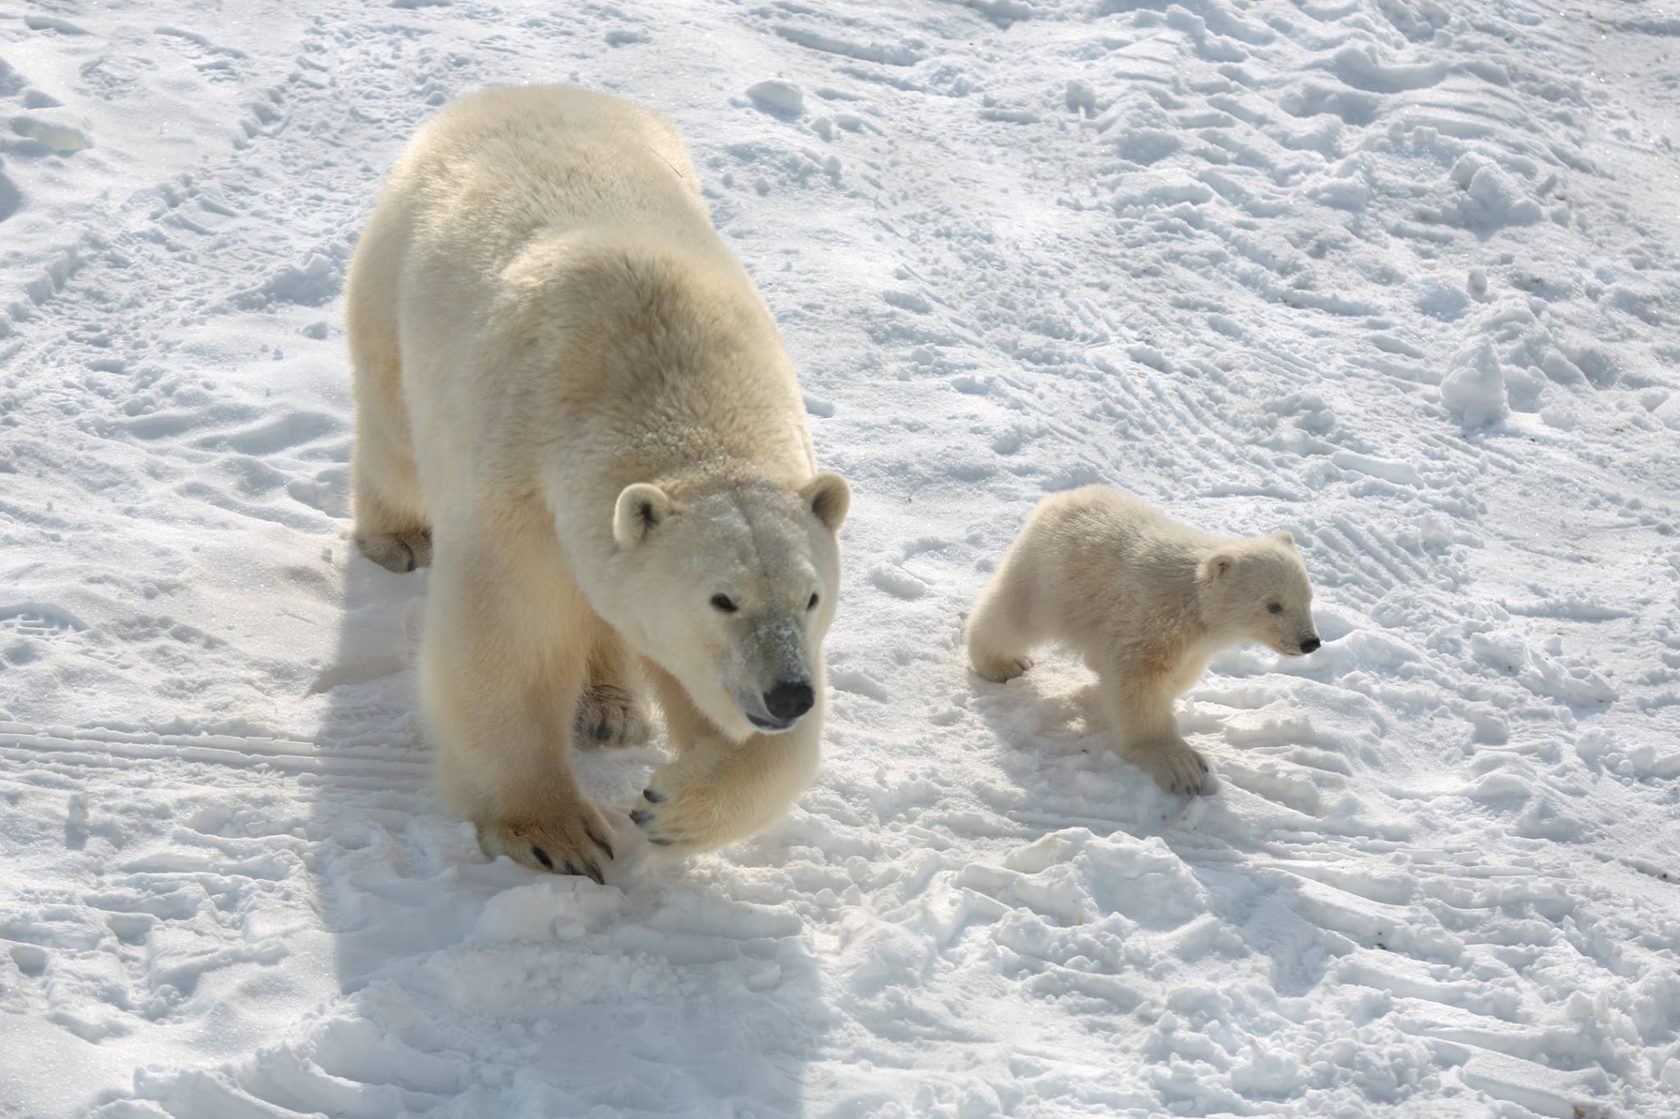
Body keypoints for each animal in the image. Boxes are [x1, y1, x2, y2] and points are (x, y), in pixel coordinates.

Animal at [354, 84, 853, 880]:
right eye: (722, 598)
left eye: (811, 596)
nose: (788, 693)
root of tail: (520, 89)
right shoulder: (521, 489)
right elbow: (510, 642)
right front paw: (555, 833)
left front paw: (672, 805)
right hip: (395, 282)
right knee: (395, 441)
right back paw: (397, 535)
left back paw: (612, 710)